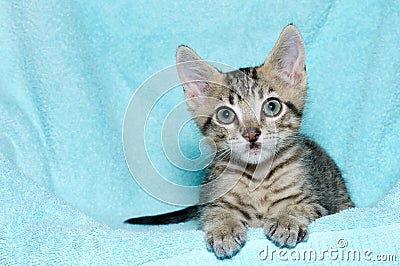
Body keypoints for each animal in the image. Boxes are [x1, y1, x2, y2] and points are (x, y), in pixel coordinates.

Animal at [125, 24, 354, 258]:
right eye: (226, 115)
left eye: (272, 106)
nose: (252, 134)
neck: (257, 178)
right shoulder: (212, 204)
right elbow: (217, 212)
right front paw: (224, 229)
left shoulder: (317, 202)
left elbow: (300, 206)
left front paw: (286, 219)